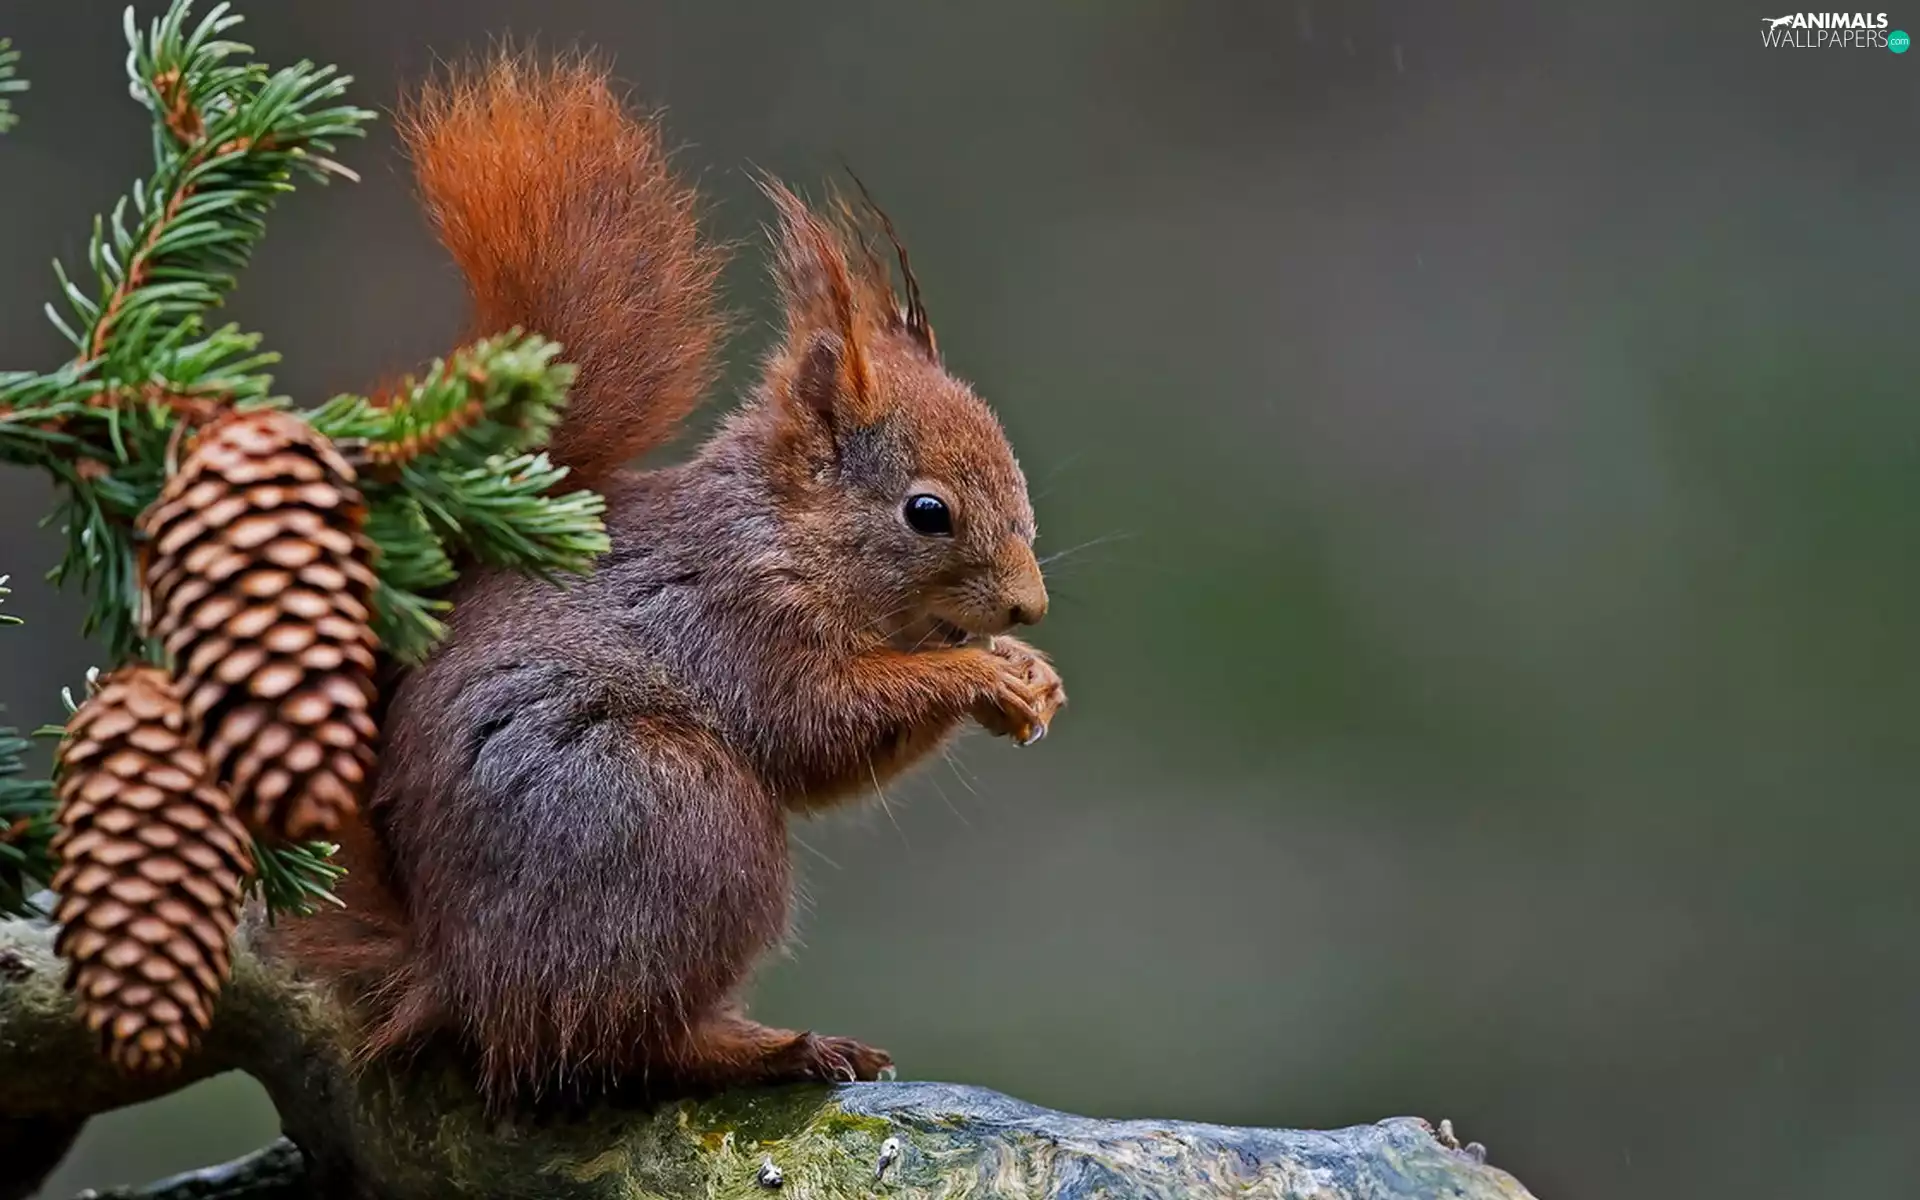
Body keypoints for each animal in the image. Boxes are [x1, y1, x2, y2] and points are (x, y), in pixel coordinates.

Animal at [273, 53, 1065, 1109]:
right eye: (926, 512)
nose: (1030, 605)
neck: (783, 535)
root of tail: (449, 972)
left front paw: (1028, 671)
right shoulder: (735, 621)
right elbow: (817, 725)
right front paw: (978, 673)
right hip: (680, 824)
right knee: (621, 1042)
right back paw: (774, 1049)